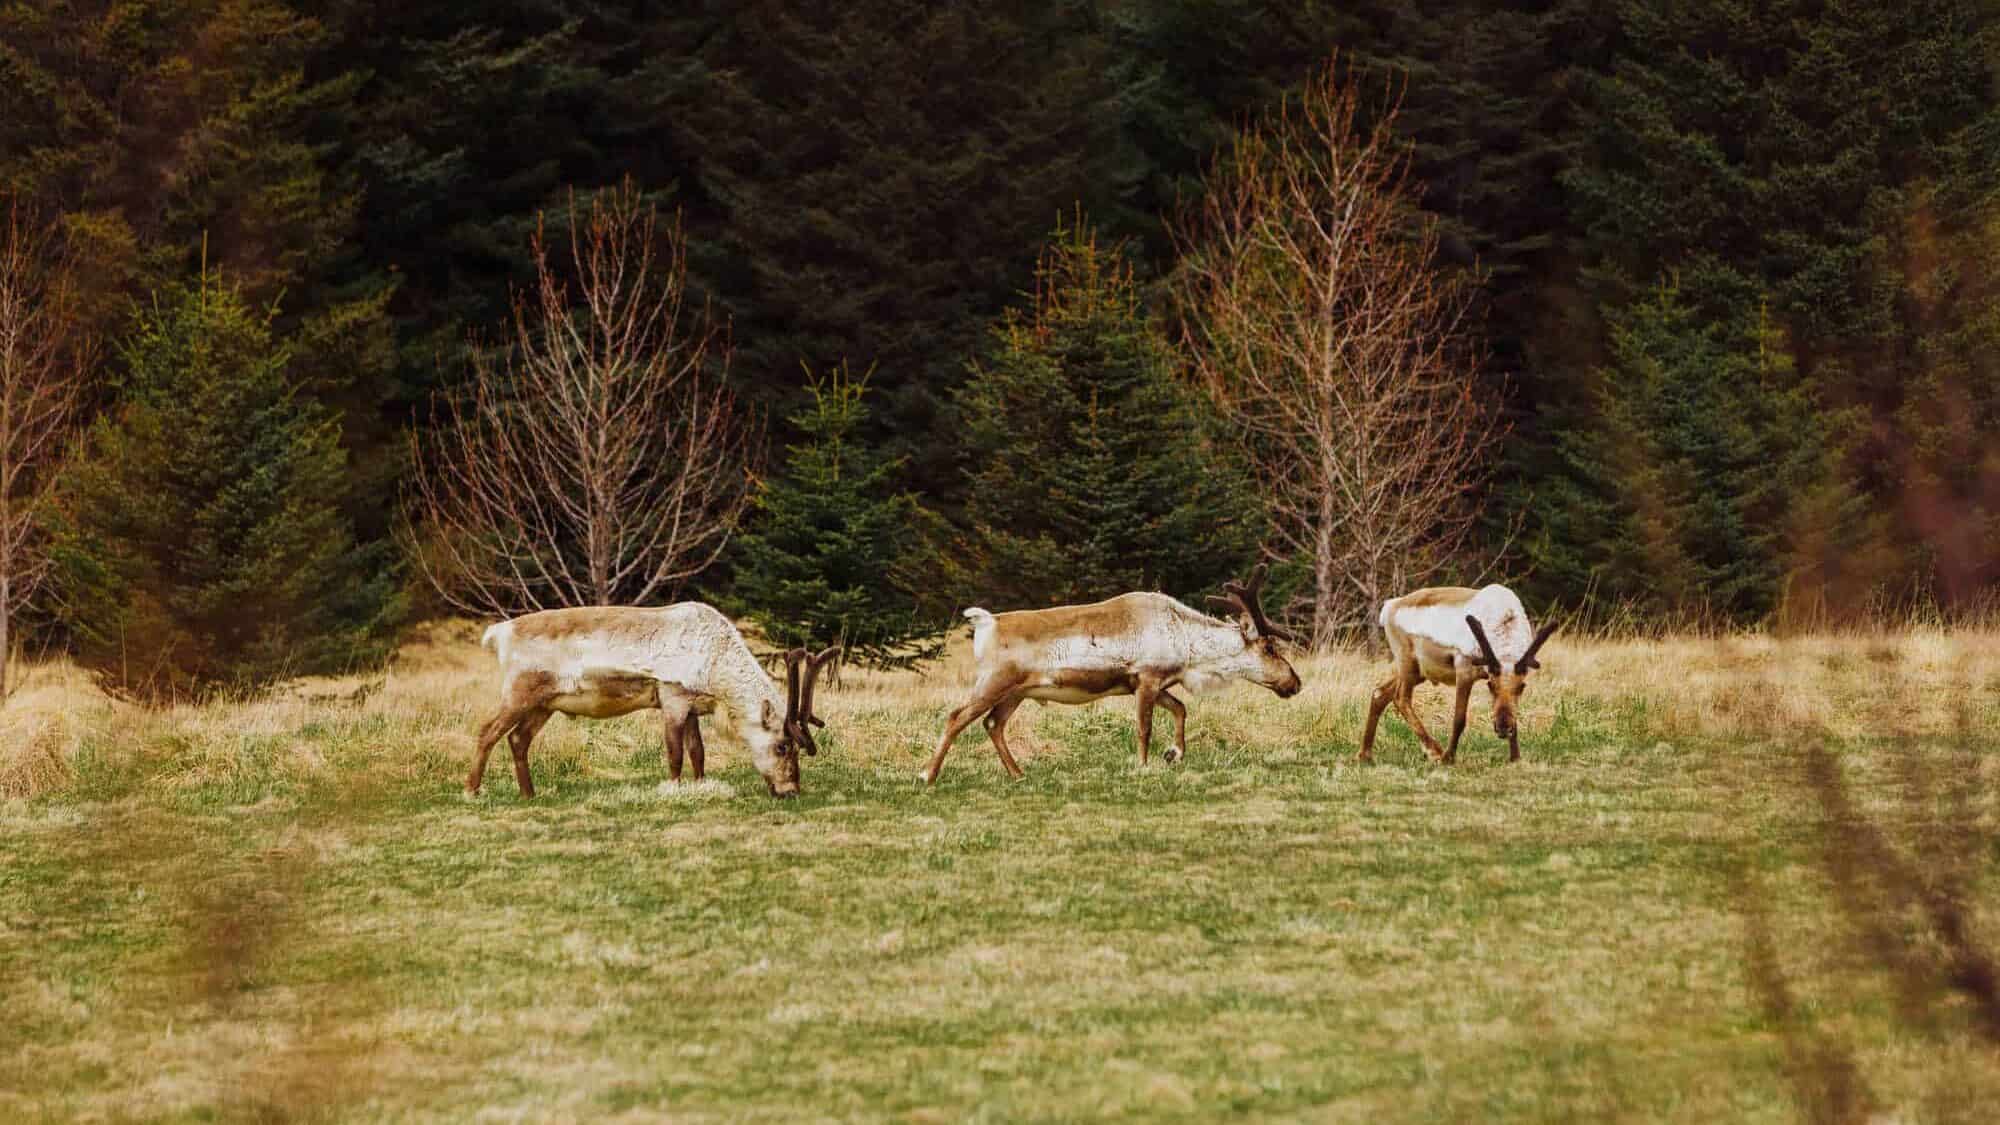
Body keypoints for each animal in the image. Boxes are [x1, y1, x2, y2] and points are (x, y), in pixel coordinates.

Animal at [471, 603, 838, 799]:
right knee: (487, 731)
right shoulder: (672, 696)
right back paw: (472, 790)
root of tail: (498, 634)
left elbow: (698, 752)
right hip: (519, 692)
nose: (791, 790)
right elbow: (675, 753)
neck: (717, 672)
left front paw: (701, 785)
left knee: (517, 739)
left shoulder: (691, 704)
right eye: (782, 746)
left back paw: (529, 793)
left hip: (544, 704)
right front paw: (673, 789)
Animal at [923, 565, 1302, 785]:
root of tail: (986, 623)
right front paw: (1143, 766)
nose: (1295, 683)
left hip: (1017, 692)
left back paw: (1019, 774)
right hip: (994, 681)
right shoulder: (1147, 678)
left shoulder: (1152, 683)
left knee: (992, 724)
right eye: (1270, 648)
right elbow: (1144, 727)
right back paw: (928, 774)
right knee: (957, 716)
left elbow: (1181, 709)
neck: (1187, 645)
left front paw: (1174, 754)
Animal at [1360, 584, 1558, 765]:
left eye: (1521, 687)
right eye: (1490, 685)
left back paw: (1365, 755)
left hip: (1420, 671)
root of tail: (1390, 607)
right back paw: (1435, 751)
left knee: (1379, 693)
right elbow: (1459, 719)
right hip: (1406, 662)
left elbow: (1514, 714)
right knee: (1401, 698)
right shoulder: (1464, 670)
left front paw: (1515, 757)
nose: (1502, 728)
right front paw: (1448, 758)